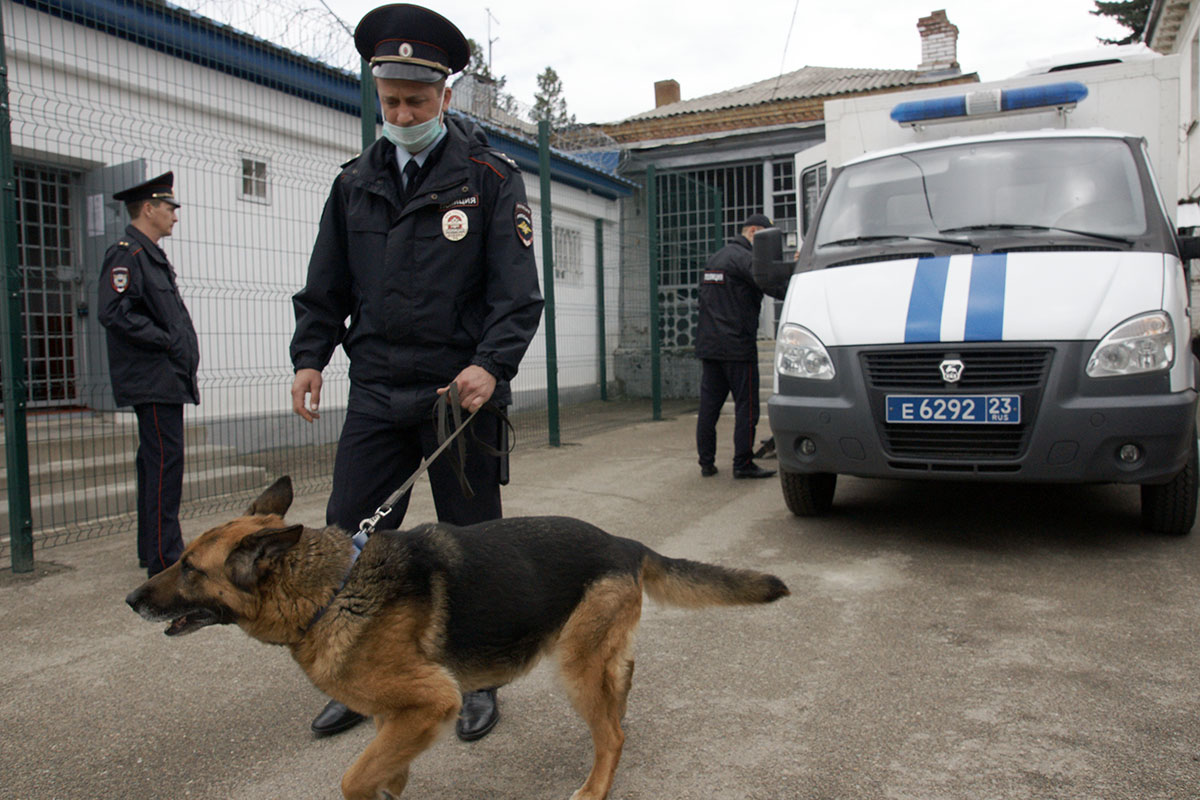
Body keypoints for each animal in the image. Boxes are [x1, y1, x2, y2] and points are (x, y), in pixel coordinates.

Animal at [124, 479, 787, 796]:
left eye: (188, 567)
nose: (131, 601)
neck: (332, 589)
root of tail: (624, 543)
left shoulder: (430, 700)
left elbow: (354, 778)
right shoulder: (399, 712)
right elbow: (383, 763)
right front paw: (394, 783)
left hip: (574, 665)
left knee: (613, 734)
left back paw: (596, 787)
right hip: (600, 657)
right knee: (621, 700)